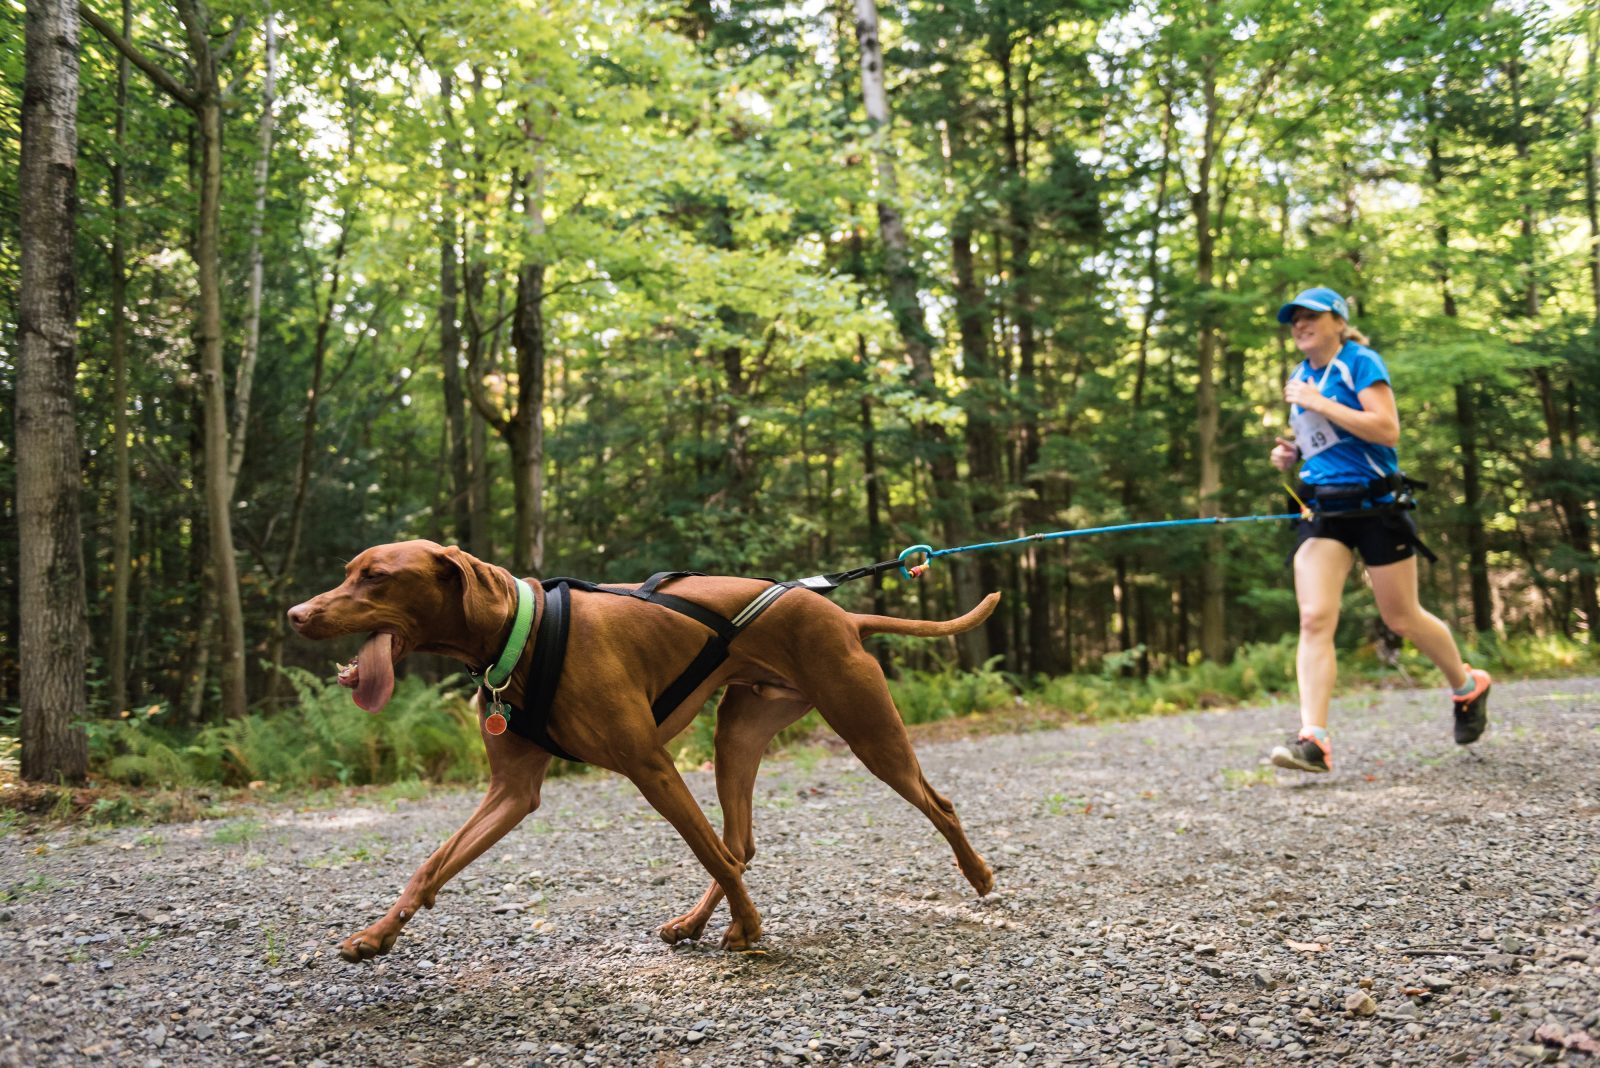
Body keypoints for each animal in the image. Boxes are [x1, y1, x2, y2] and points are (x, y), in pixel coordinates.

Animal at [281, 537, 992, 965]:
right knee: (740, 843)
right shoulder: (512, 792)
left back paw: (980, 875)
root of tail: (841, 614)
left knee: (938, 803)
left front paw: (753, 925)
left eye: (376, 578)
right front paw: (378, 934)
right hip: (737, 734)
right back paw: (696, 922)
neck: (522, 634)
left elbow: (708, 851)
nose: (295, 614)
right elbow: (432, 864)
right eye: (348, 573)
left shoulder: (650, 765)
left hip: (868, 731)